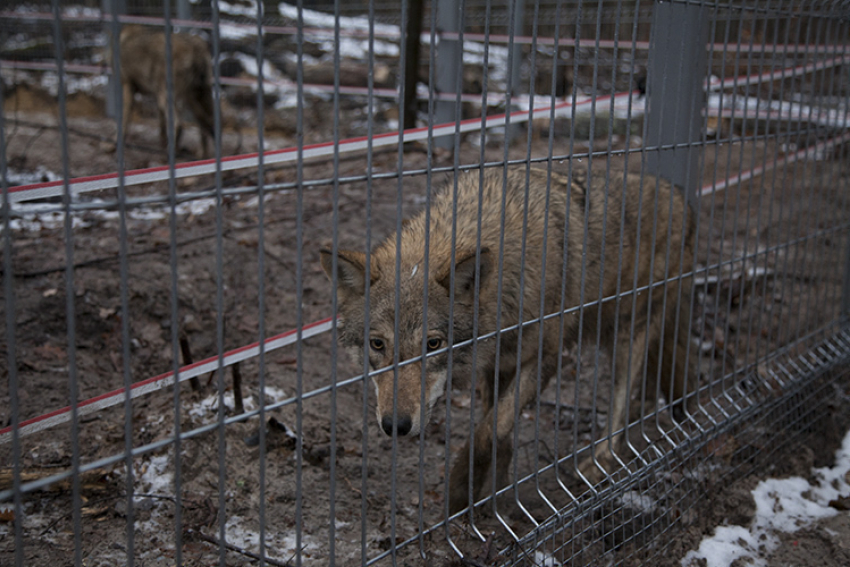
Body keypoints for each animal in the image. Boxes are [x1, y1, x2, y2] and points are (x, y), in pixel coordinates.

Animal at [110, 25, 214, 156]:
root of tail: (196, 49)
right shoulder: (155, 94)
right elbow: (161, 123)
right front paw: (162, 142)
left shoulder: (127, 85)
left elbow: (124, 117)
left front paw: (115, 142)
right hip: (196, 95)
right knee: (210, 122)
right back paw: (204, 154)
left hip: (169, 97)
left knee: (179, 123)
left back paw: (172, 152)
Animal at [322, 168, 692, 516]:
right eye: (377, 344)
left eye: (433, 344)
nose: (395, 426)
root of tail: (679, 197)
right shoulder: (496, 364)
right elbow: (496, 426)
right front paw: (491, 490)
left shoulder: (546, 358)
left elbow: (487, 430)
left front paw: (461, 490)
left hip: (626, 335)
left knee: (621, 396)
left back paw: (601, 459)